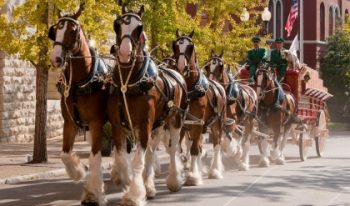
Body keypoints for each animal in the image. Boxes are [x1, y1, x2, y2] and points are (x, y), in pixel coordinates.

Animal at [47, 3, 108, 206]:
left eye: (72, 30)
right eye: (55, 30)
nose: (56, 58)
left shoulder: (97, 123)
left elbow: (95, 156)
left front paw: (93, 194)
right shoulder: (70, 123)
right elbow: (65, 154)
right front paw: (79, 171)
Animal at [108, 5, 189, 206]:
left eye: (140, 27)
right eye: (117, 24)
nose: (124, 53)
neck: (129, 82)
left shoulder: (144, 123)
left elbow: (138, 160)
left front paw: (134, 195)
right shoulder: (117, 124)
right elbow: (122, 157)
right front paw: (126, 181)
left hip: (175, 120)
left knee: (173, 148)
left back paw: (174, 181)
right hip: (158, 124)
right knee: (152, 151)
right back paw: (150, 187)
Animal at [173, 29, 227, 184]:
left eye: (191, 47)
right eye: (175, 46)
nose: (181, 67)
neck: (190, 89)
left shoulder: (197, 122)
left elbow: (194, 150)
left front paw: (193, 176)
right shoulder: (182, 124)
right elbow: (180, 148)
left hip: (218, 123)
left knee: (217, 144)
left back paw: (214, 170)